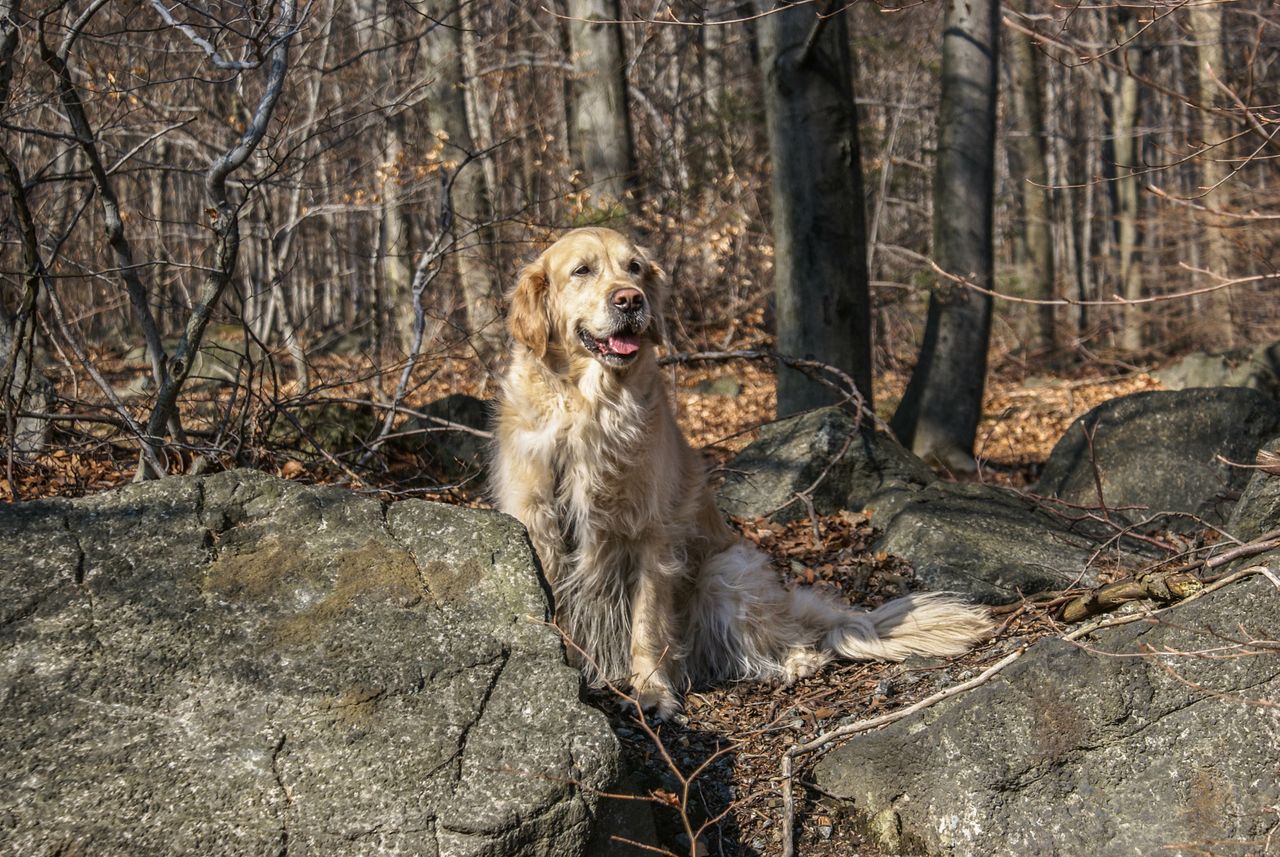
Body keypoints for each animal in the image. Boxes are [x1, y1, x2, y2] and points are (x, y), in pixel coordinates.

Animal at [491, 227, 988, 716]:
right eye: (582, 270)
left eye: (633, 267)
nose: (631, 299)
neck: (588, 407)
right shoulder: (541, 528)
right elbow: (556, 610)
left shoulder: (653, 534)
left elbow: (647, 624)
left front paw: (653, 692)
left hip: (726, 569)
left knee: (796, 638)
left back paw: (796, 663)